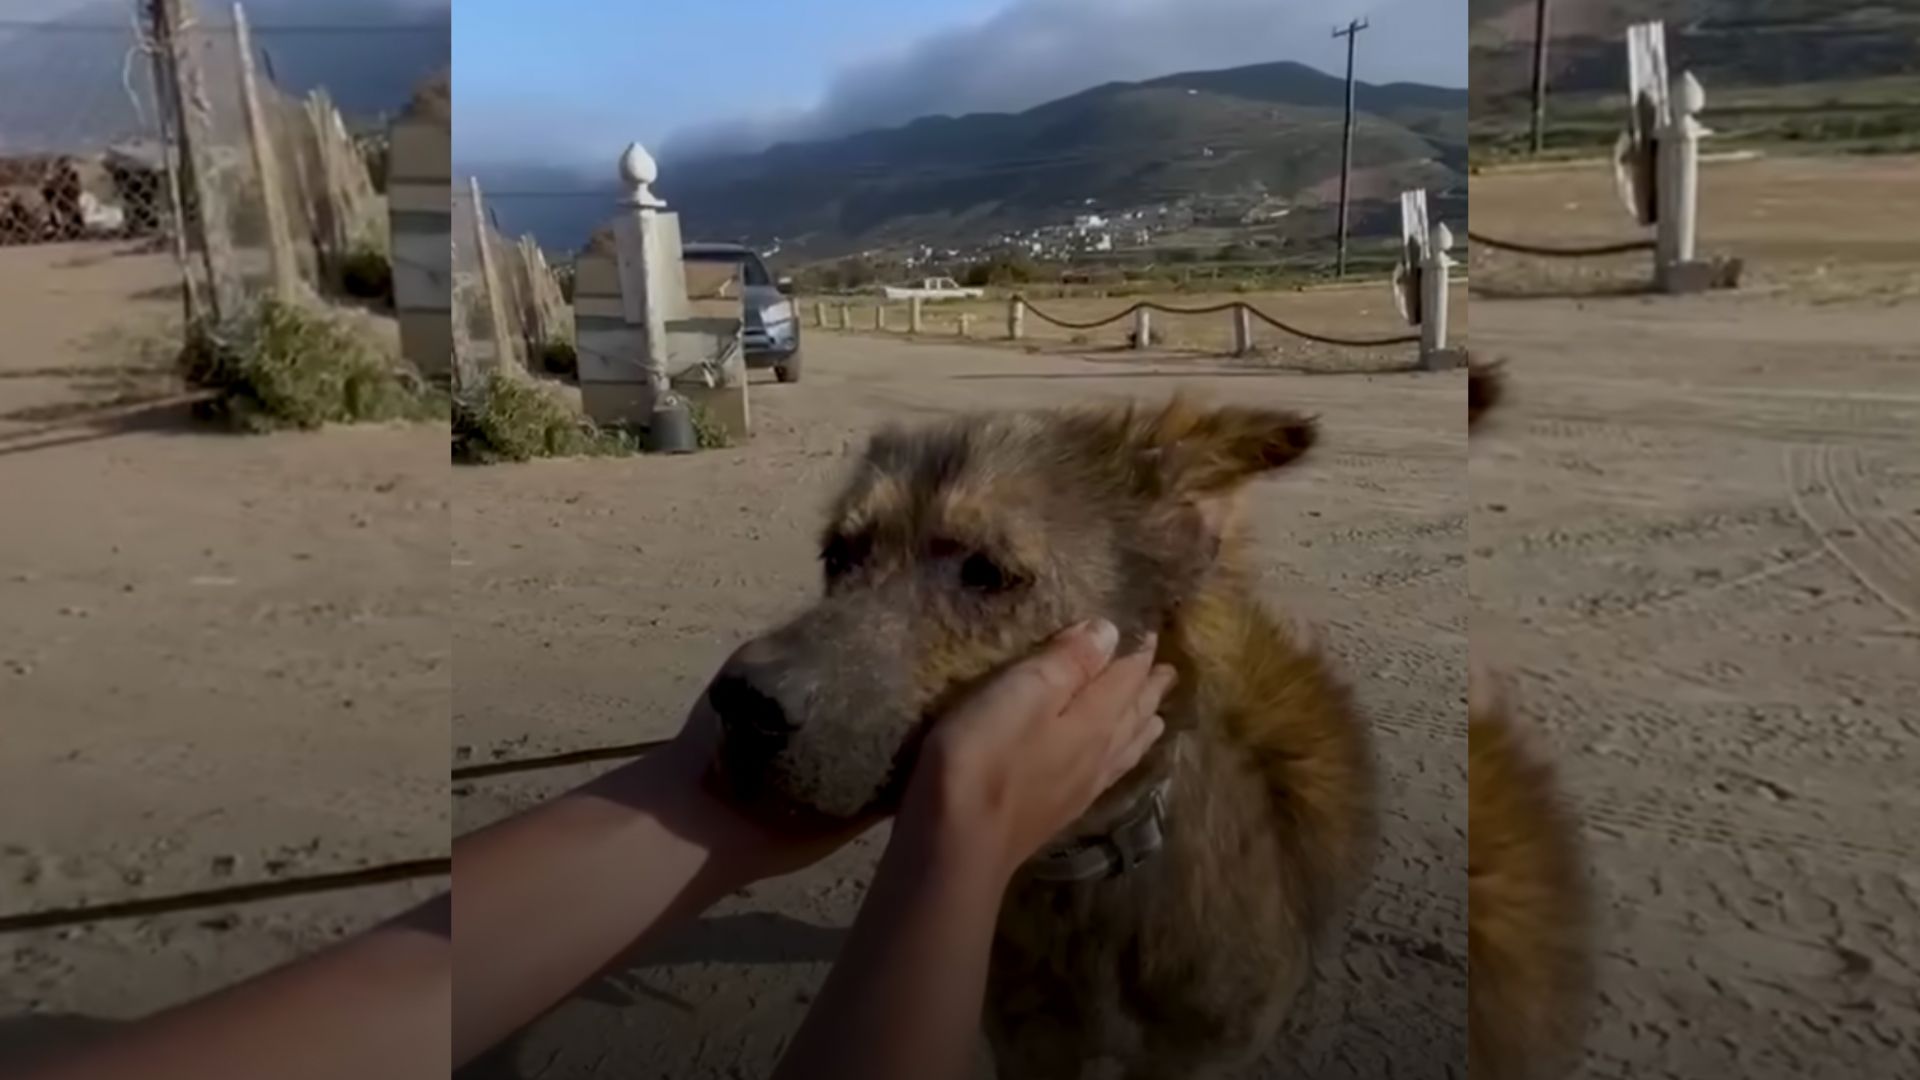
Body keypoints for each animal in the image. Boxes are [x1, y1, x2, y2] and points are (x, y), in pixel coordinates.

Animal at [714, 397, 1374, 1076]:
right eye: (838, 556)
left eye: (986, 572)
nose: (740, 704)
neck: (1083, 874)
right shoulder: (1027, 1044)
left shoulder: (1199, 1055)